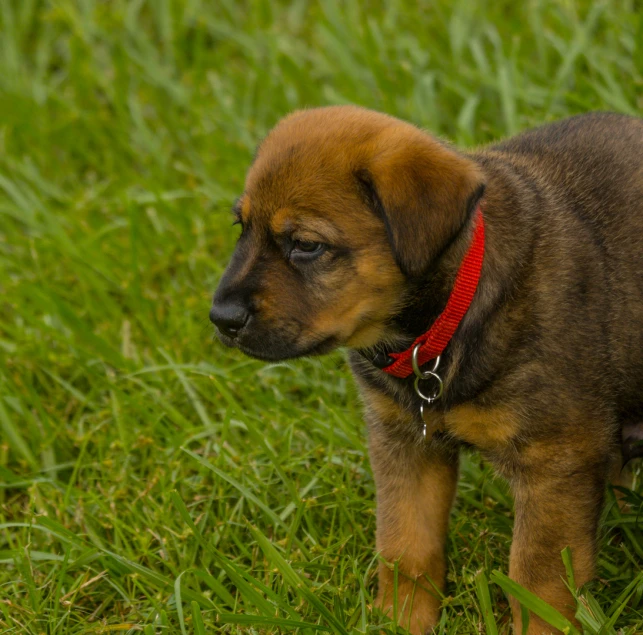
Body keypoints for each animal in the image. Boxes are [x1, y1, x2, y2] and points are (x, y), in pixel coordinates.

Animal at [211, 107, 643, 632]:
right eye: (241, 227)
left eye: (306, 245)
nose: (221, 318)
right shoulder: (404, 444)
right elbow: (406, 547)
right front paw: (401, 621)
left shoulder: (555, 459)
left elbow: (537, 578)